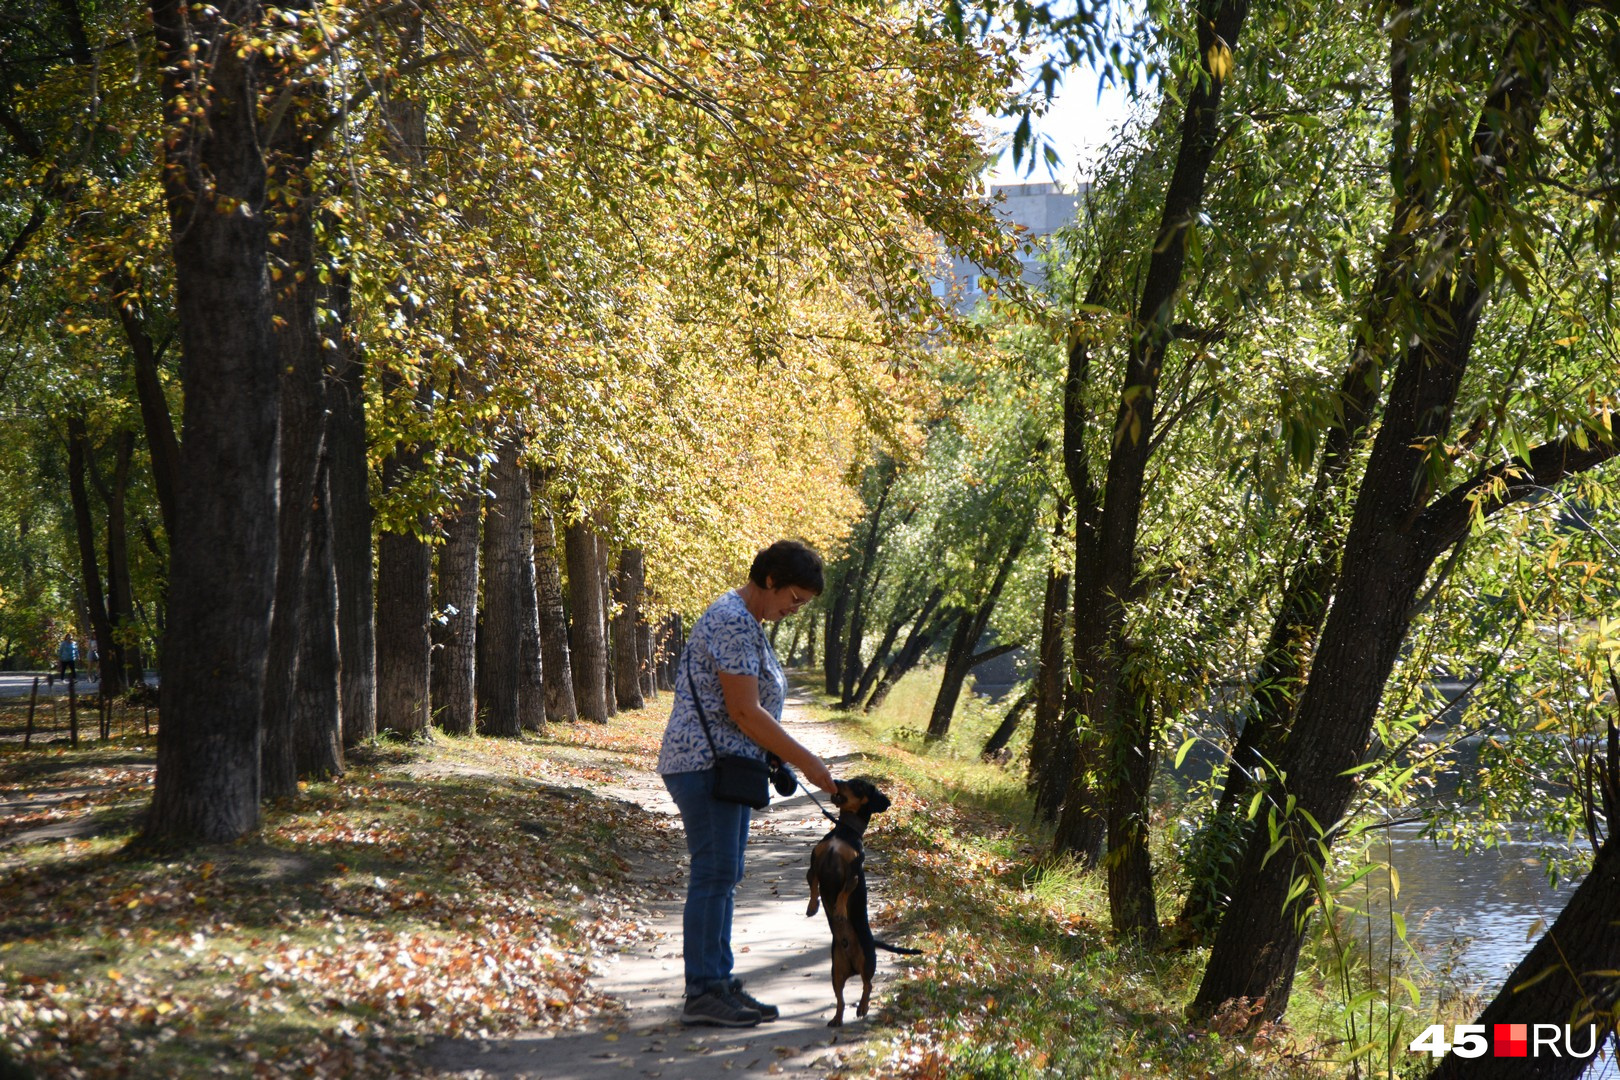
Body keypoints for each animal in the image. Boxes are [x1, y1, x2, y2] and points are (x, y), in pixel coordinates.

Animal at [803, 780, 920, 1029]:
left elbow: (843, 894)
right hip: (836, 971)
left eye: (857, 785)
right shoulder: (814, 865)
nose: (836, 781)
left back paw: (863, 1007)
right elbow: (814, 885)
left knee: (868, 985)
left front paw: (838, 910)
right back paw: (837, 1018)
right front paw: (812, 907)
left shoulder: (853, 874)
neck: (843, 832)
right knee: (840, 999)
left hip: (867, 961)